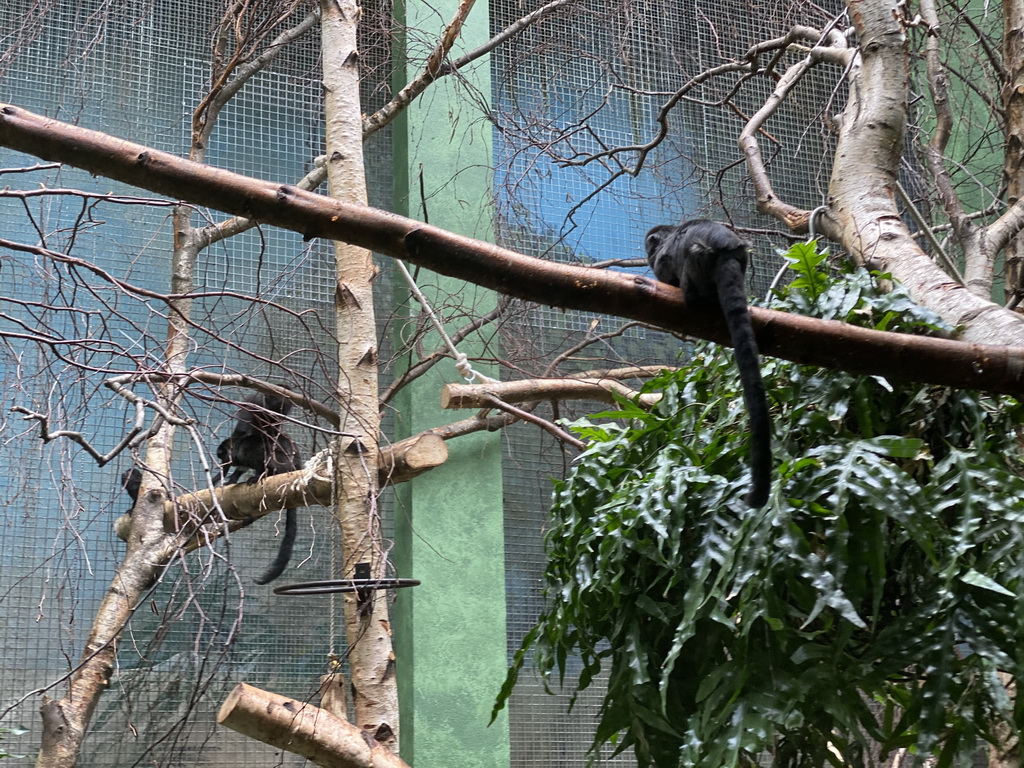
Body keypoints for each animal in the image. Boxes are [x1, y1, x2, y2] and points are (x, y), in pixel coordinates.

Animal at [219, 393, 303, 585]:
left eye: (221, 455)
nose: (221, 461)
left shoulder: (249, 452)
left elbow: (260, 462)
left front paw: (255, 476)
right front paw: (232, 479)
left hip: (284, 462)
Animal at [643, 219, 770, 507]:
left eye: (650, 247)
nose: (648, 253)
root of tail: (728, 249)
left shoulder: (663, 258)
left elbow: (666, 267)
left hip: (698, 260)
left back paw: (692, 296)